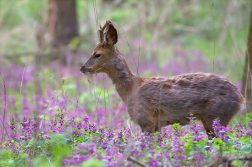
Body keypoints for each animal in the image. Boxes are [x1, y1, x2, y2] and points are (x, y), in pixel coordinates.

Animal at [80, 20, 244, 138]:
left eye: (97, 54)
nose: (82, 68)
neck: (130, 89)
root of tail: (240, 98)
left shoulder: (146, 119)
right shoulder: (157, 124)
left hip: (217, 115)